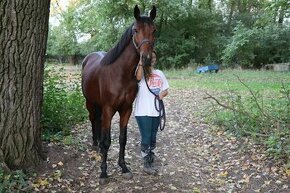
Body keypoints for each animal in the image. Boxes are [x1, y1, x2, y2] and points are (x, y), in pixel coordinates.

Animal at [81, 5, 156, 184]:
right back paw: (95, 144)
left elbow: (123, 139)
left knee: (99, 122)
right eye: (135, 30)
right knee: (93, 120)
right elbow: (108, 141)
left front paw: (123, 167)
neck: (120, 74)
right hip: (90, 103)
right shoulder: (108, 109)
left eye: (154, 30)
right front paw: (103, 172)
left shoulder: (126, 109)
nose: (147, 58)